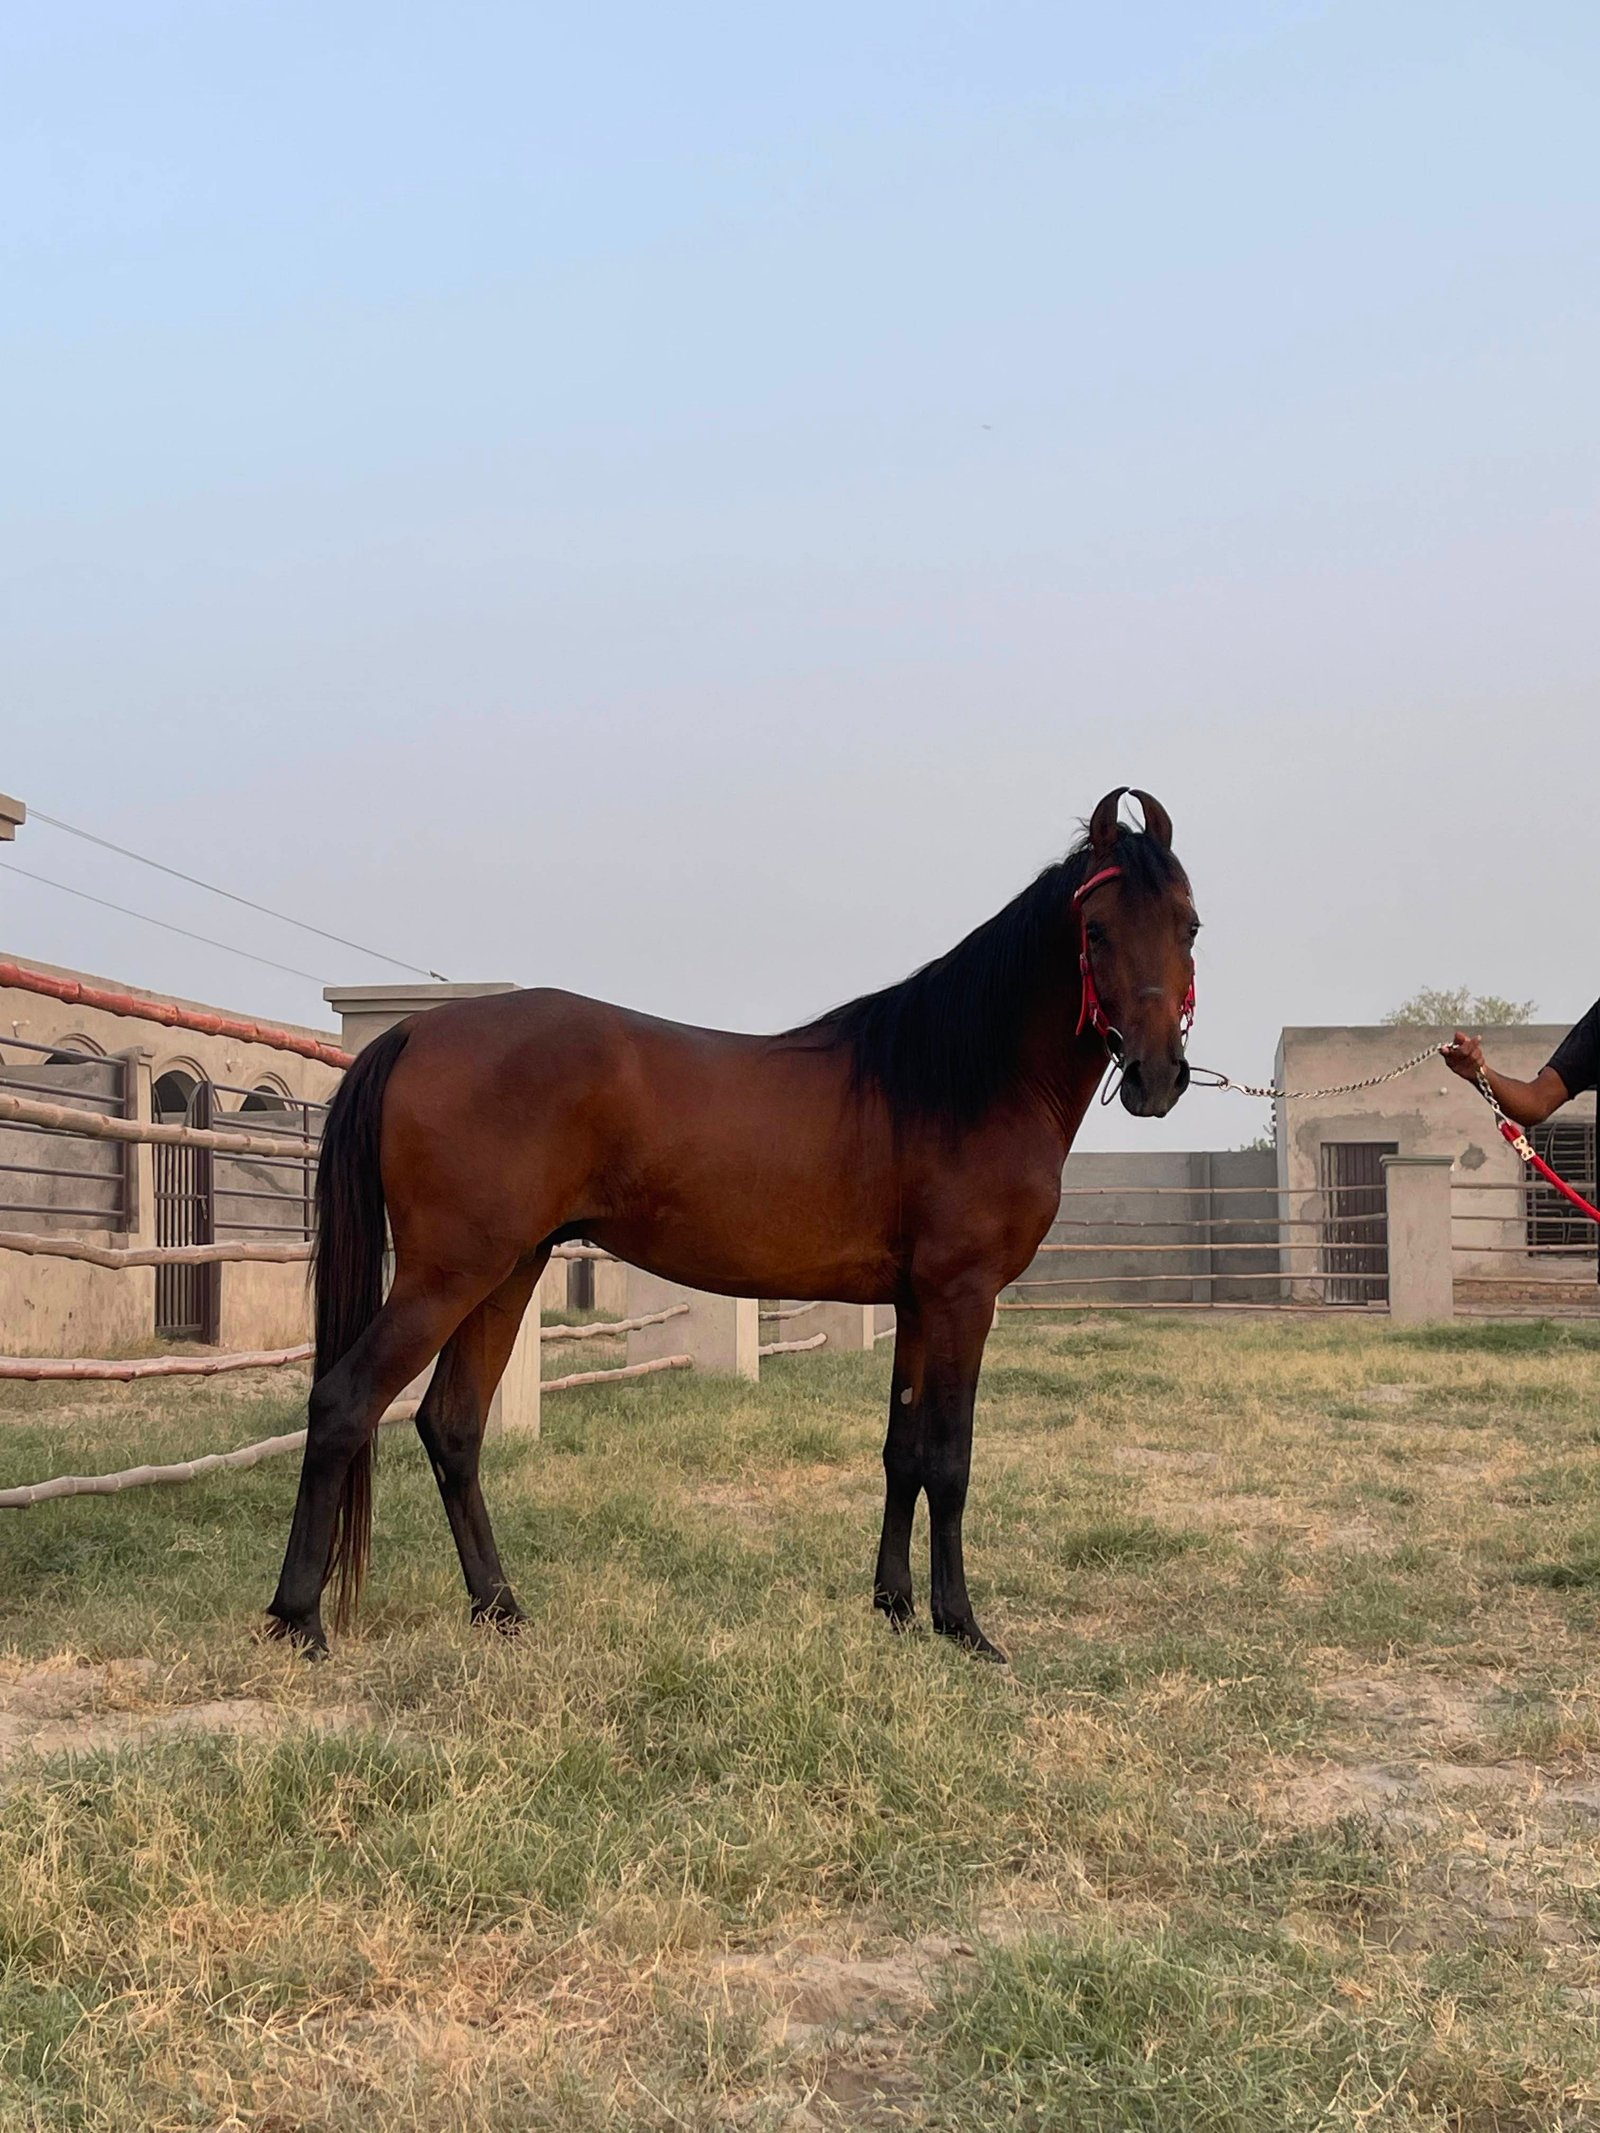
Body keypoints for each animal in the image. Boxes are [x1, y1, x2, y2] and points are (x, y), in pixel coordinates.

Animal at [266, 787, 1199, 1660]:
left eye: (1189, 924)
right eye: (1096, 929)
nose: (1157, 1077)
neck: (961, 1080)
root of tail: (418, 1030)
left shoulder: (915, 1302)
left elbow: (902, 1450)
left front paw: (894, 1606)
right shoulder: (961, 1297)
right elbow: (949, 1457)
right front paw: (962, 1625)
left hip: (507, 1270)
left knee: (452, 1426)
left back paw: (500, 1608)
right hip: (448, 1274)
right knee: (346, 1402)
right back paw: (298, 1619)